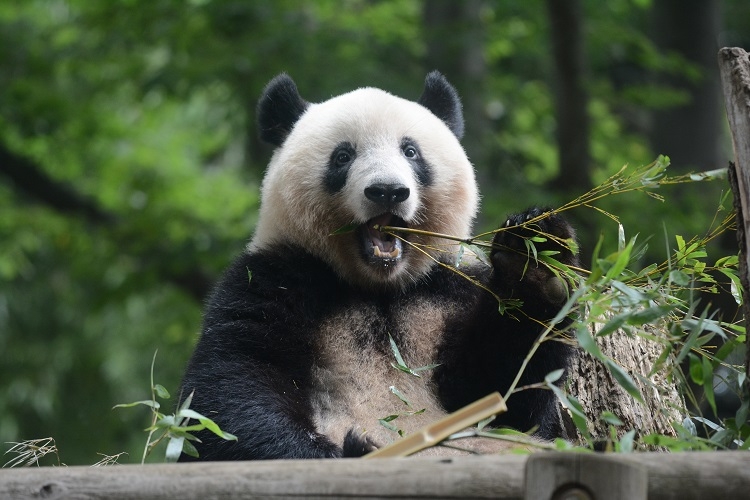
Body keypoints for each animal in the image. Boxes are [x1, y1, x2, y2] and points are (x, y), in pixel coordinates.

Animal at [181, 71, 580, 460]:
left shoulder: (450, 288)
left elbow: (505, 393)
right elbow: (227, 392)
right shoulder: (273, 277)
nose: (387, 190)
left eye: (411, 151)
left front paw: (535, 260)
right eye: (343, 156)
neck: (380, 285)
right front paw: (345, 453)